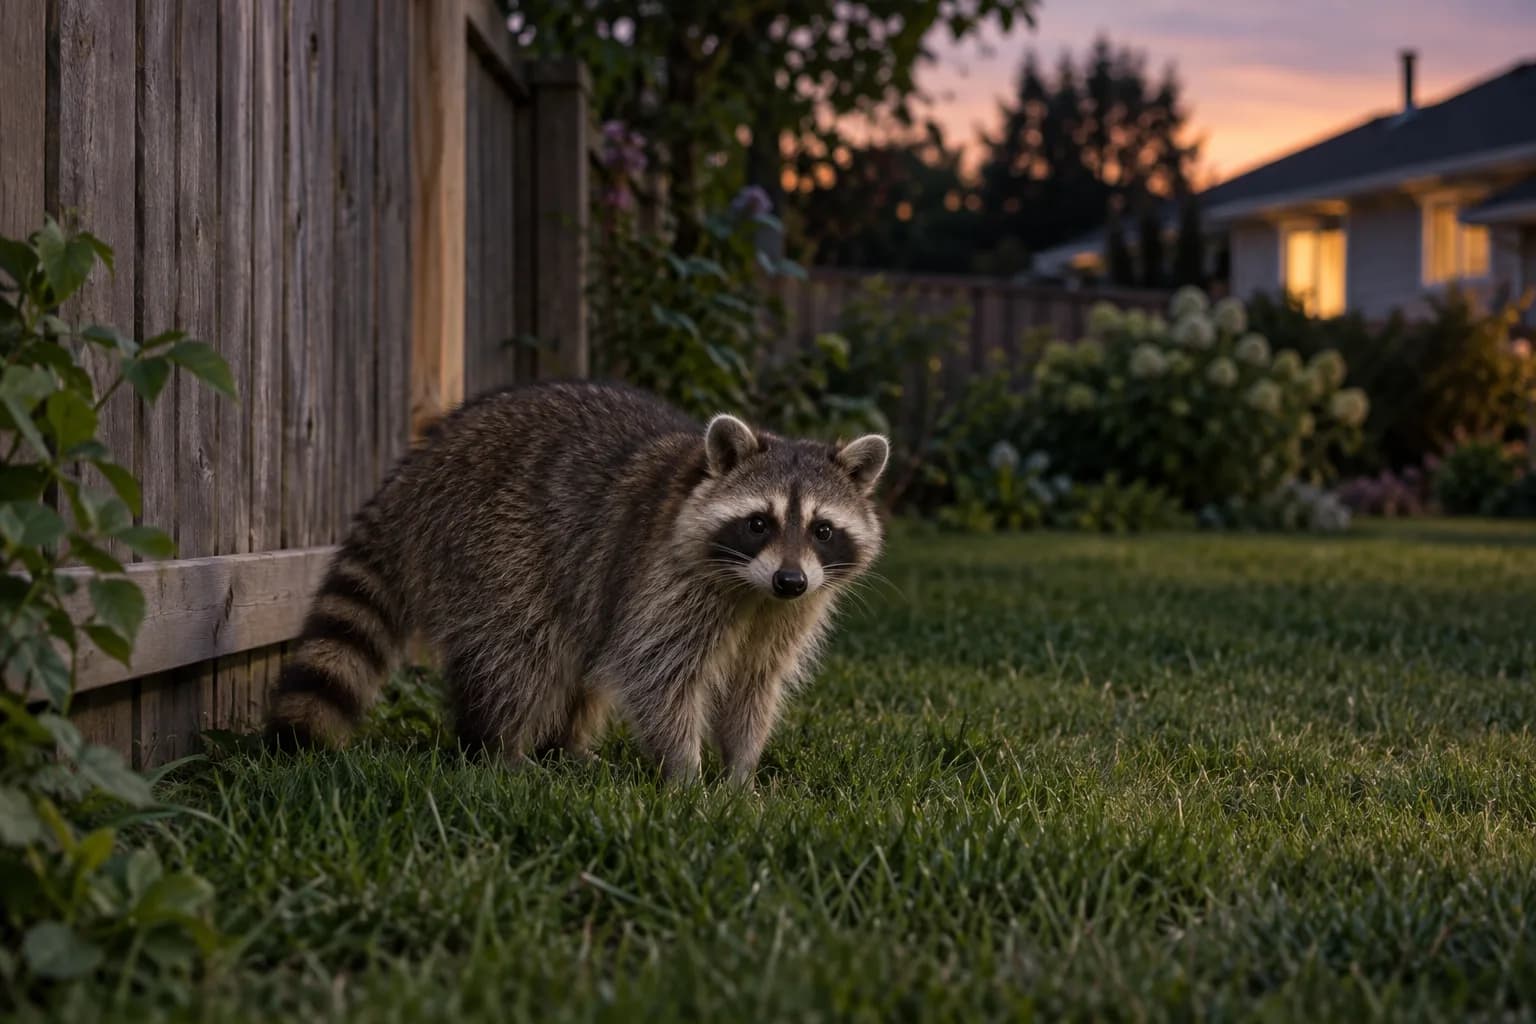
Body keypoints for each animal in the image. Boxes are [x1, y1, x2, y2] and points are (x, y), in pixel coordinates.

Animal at [266, 380, 889, 784]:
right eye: (758, 523)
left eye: (823, 530)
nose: (790, 579)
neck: (752, 592)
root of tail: (417, 467)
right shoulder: (664, 579)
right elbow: (657, 674)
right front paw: (686, 777)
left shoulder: (786, 615)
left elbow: (753, 687)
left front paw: (739, 774)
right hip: (494, 546)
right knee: (522, 654)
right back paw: (497, 748)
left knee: (581, 665)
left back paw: (562, 748)